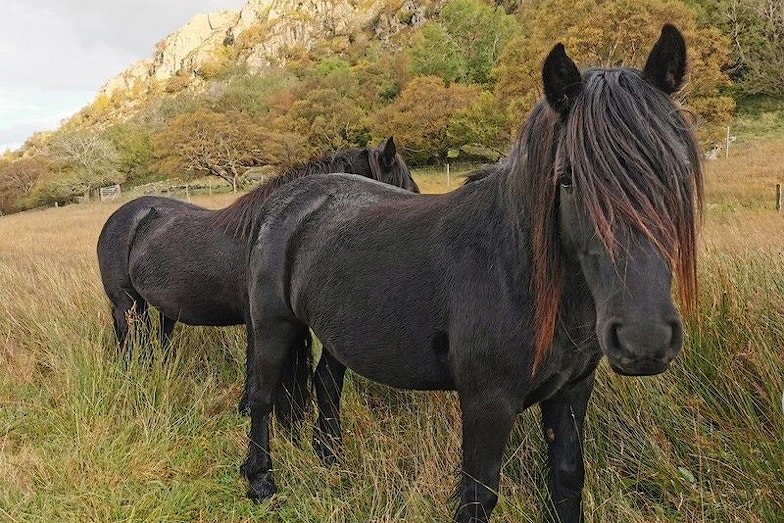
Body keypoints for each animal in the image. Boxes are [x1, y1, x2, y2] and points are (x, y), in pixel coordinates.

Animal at [242, 25, 700, 523]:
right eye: (568, 179)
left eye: (678, 171)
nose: (644, 340)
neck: (517, 272)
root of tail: (287, 200)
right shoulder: (487, 403)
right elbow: (479, 495)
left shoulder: (572, 392)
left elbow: (567, 479)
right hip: (273, 327)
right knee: (262, 398)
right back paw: (260, 481)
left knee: (327, 384)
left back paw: (331, 459)